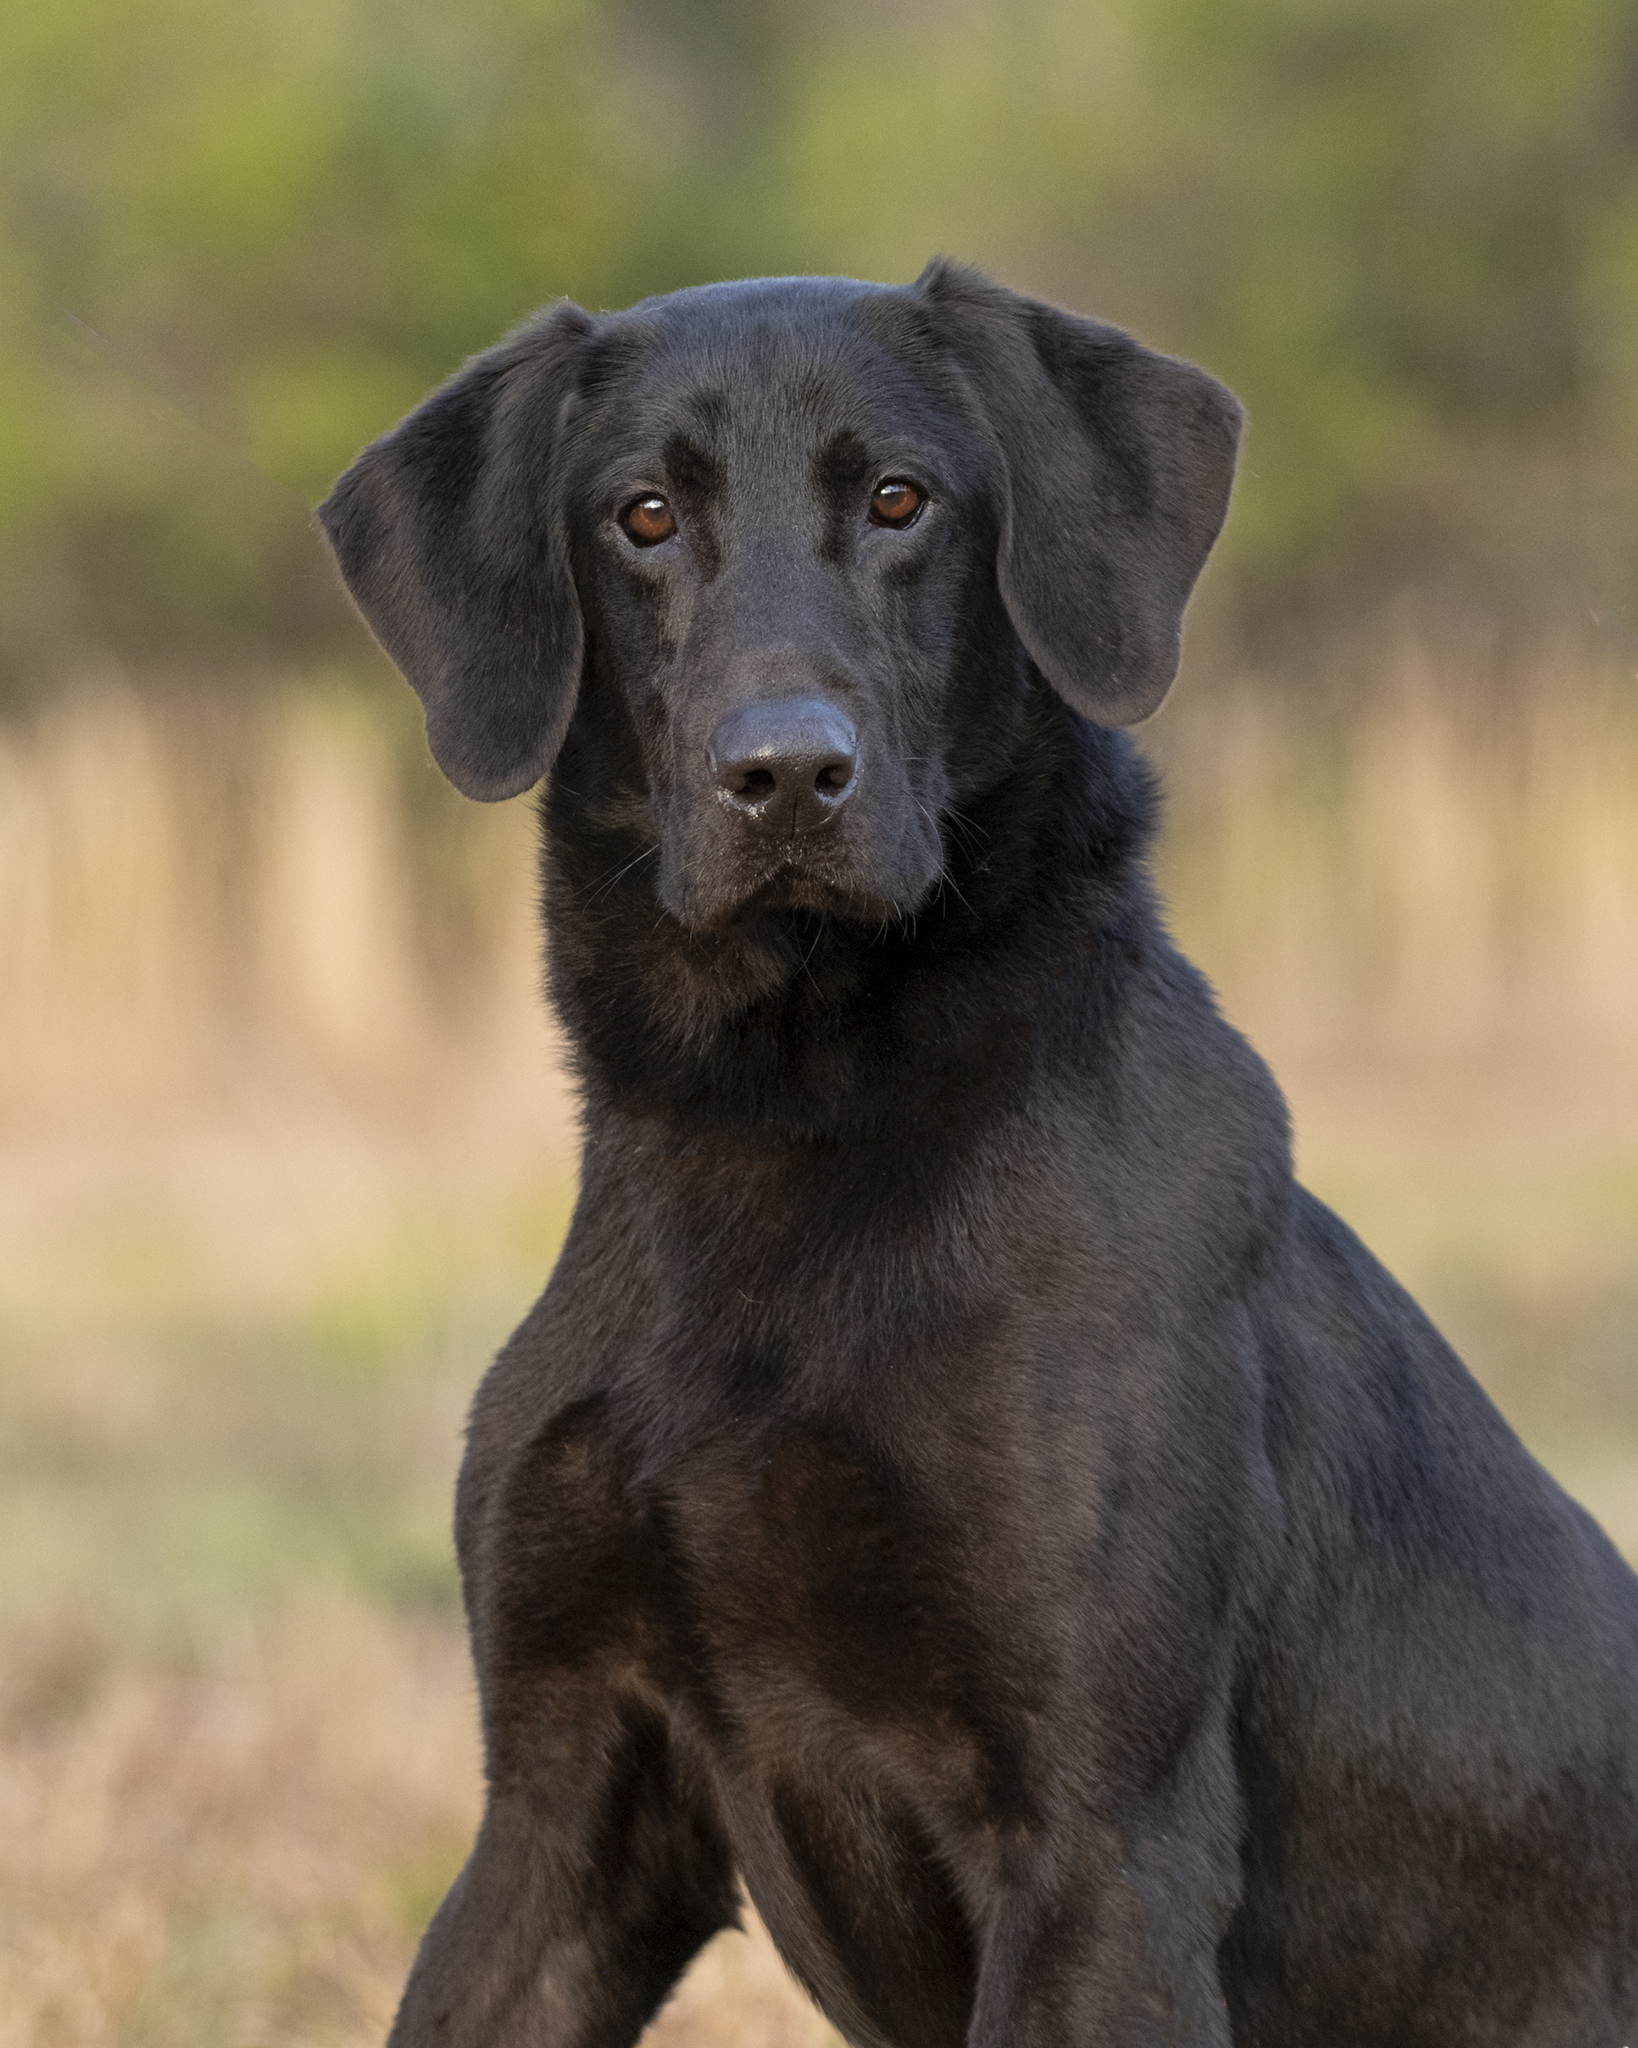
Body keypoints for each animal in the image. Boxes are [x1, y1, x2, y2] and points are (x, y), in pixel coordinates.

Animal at [319, 260, 1637, 2048]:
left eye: (899, 499)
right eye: (643, 515)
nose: (785, 775)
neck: (782, 1128)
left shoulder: (1099, 1841)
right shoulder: (557, 1794)